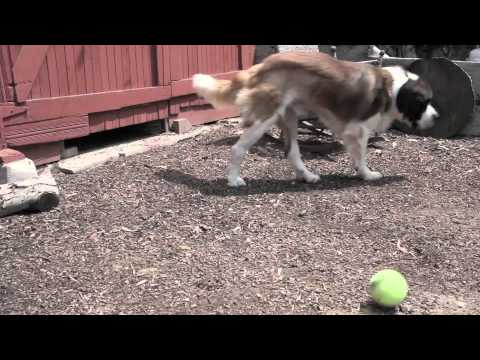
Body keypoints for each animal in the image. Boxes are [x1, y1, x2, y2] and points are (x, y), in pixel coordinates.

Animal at [192, 52, 438, 187]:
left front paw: (360, 171)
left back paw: (307, 176)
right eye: (423, 102)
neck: (392, 88)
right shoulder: (358, 130)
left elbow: (356, 154)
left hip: (289, 117)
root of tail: (263, 65)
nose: (436, 117)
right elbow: (362, 155)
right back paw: (234, 179)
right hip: (265, 117)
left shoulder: (351, 132)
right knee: (238, 148)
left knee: (292, 152)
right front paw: (367, 174)